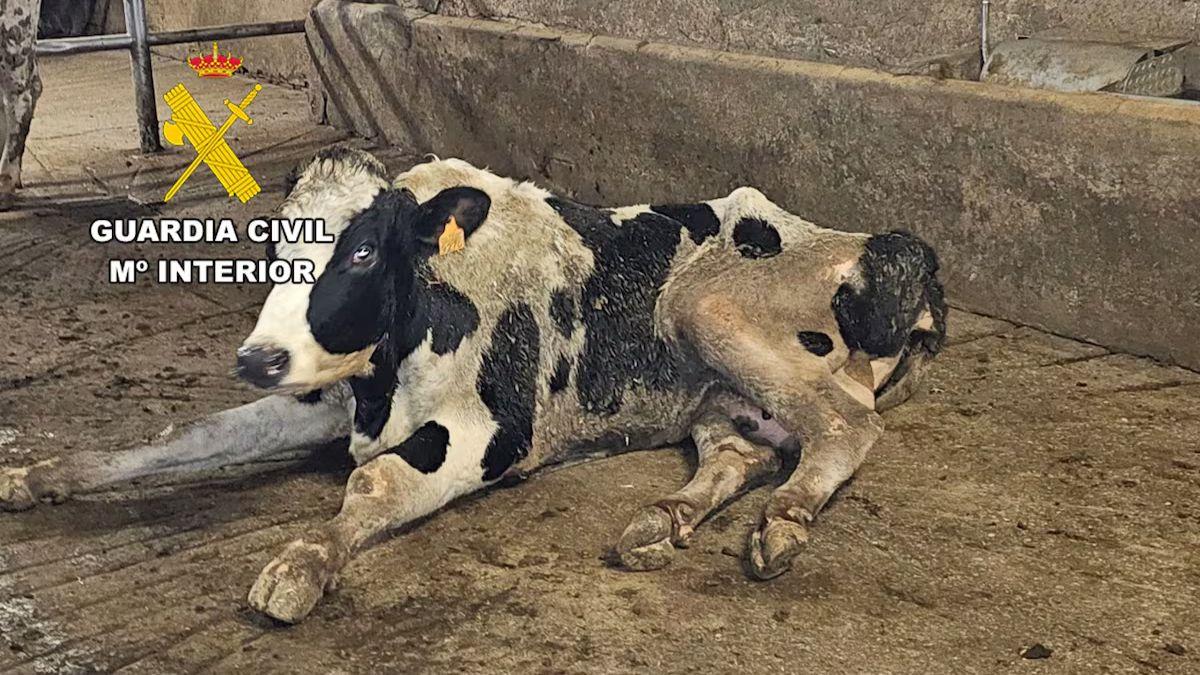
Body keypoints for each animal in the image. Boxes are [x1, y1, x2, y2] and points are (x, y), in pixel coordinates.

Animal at [0, 147, 946, 624]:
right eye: (272, 243)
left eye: (361, 249)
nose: (258, 357)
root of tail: (894, 248)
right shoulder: (321, 395)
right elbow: (182, 438)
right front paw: (34, 476)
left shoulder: (492, 433)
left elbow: (375, 482)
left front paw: (301, 563)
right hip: (716, 396)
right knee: (743, 452)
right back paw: (662, 517)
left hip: (708, 307)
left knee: (846, 427)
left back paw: (783, 523)